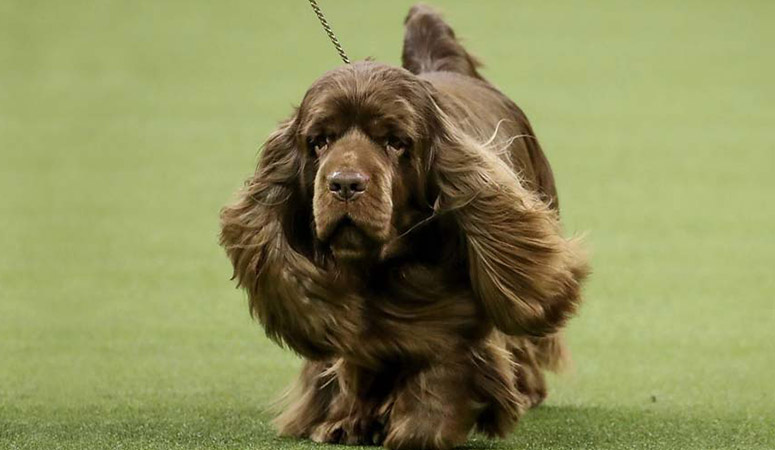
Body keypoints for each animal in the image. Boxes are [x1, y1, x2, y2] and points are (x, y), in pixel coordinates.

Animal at [218, 4, 588, 450]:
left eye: (395, 142)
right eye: (320, 141)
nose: (344, 184)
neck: (379, 266)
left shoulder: (454, 316)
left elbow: (442, 364)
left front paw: (422, 429)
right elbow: (353, 359)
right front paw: (347, 421)